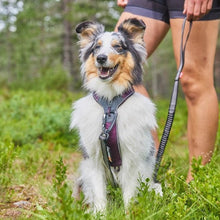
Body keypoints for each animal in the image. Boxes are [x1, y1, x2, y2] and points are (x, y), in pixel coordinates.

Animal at [70, 18, 162, 214]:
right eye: (96, 47)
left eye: (118, 46)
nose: (101, 58)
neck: (111, 104)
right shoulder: (94, 159)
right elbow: (99, 195)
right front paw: (100, 215)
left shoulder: (132, 157)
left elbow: (129, 194)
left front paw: (128, 214)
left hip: (154, 185)